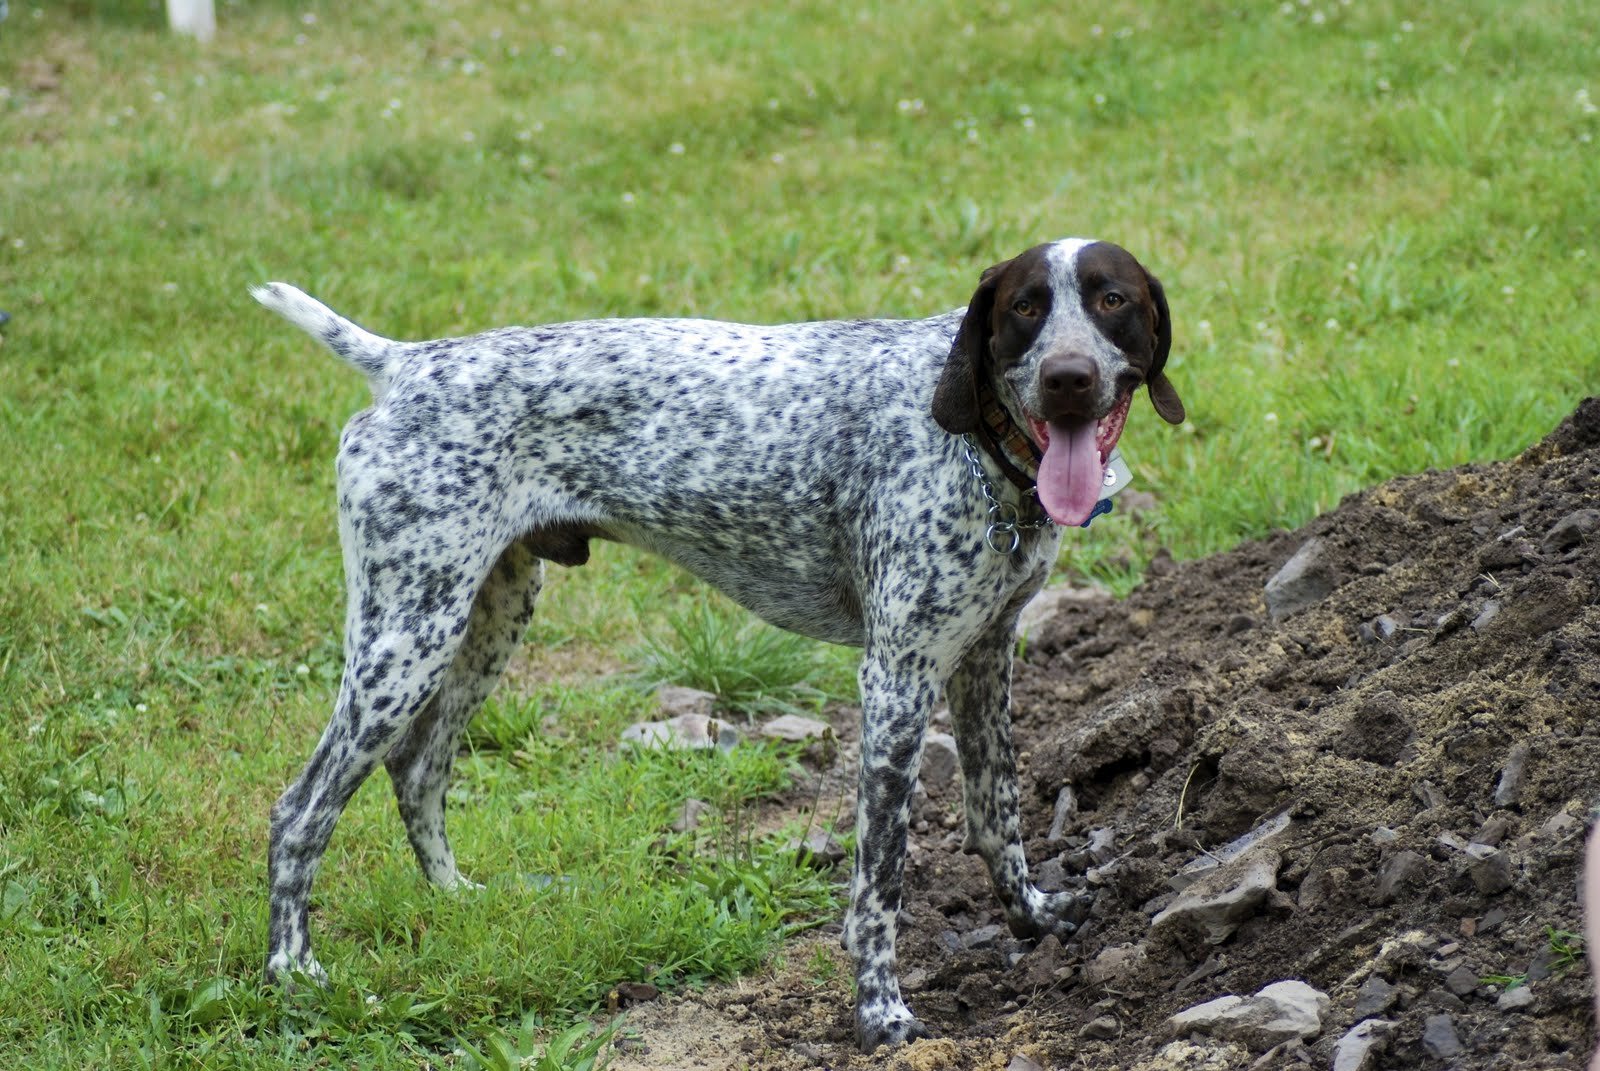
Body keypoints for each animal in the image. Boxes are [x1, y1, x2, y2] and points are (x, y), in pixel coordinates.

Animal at [256, 238, 1190, 1050]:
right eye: (1027, 307)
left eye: (1111, 300)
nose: (1069, 379)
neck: (976, 446)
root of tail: (406, 362)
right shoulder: (897, 678)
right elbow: (880, 880)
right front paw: (879, 1010)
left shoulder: (986, 658)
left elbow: (999, 812)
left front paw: (1033, 918)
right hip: (406, 638)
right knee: (301, 812)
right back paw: (293, 971)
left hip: (487, 617)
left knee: (418, 771)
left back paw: (457, 901)